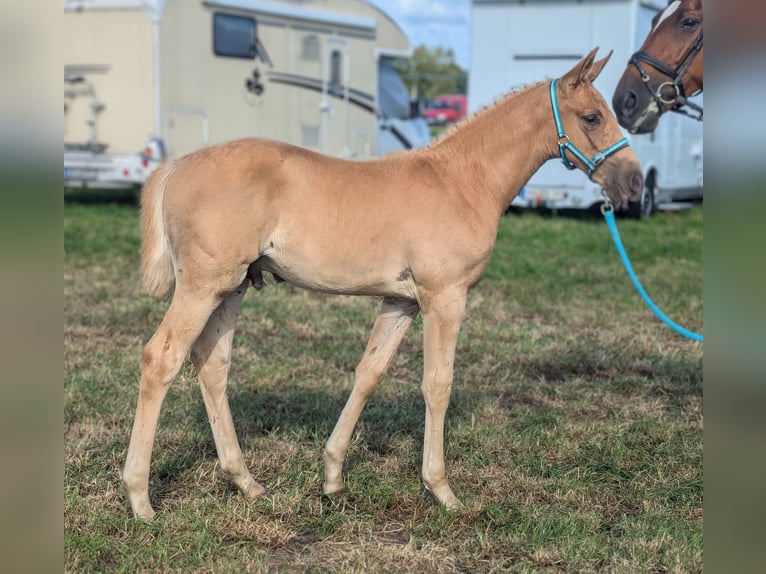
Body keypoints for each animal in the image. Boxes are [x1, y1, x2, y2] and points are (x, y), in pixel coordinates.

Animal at [123, 47, 644, 520]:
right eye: (592, 116)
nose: (635, 184)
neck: (462, 181)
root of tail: (175, 167)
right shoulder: (444, 297)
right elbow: (438, 384)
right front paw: (442, 490)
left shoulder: (400, 302)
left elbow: (369, 373)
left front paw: (333, 475)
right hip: (203, 286)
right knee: (161, 358)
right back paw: (140, 498)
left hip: (232, 288)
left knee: (212, 365)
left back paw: (245, 481)